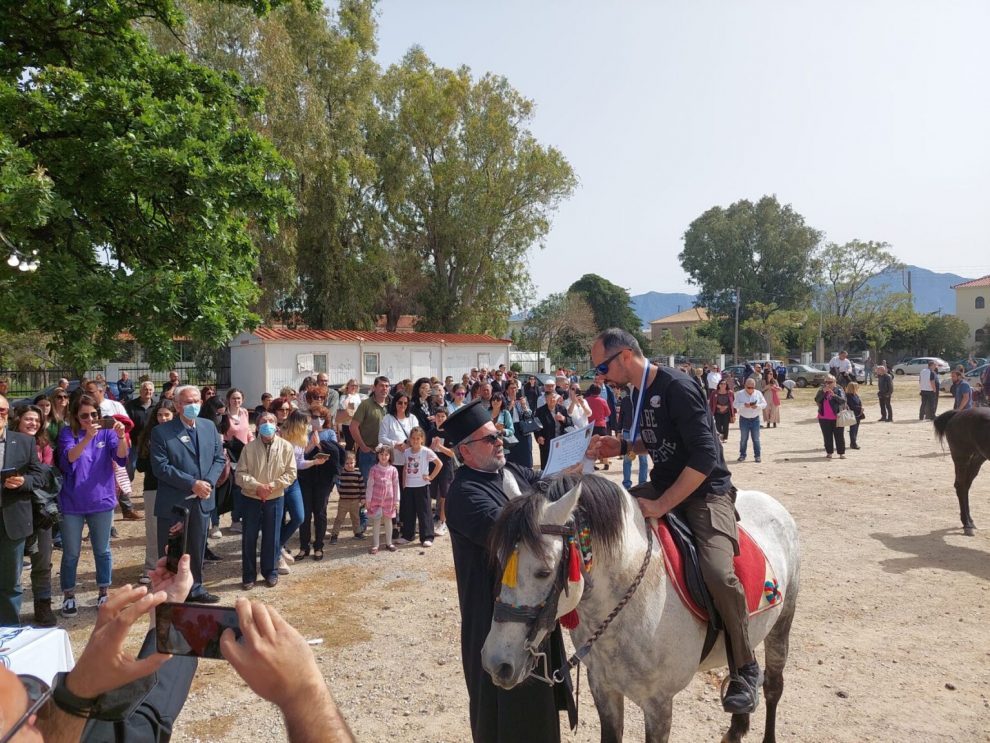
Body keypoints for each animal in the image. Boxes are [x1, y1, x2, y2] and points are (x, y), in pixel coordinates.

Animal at [932, 406, 988, 536]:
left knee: (966, 485)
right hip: (961, 456)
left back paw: (969, 520)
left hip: (978, 457)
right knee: (961, 486)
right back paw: (967, 523)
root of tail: (958, 413)